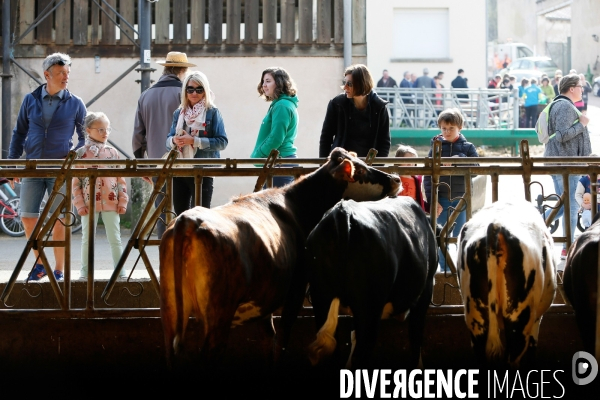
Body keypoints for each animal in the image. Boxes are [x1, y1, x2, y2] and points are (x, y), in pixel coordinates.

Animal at [161, 148, 398, 368]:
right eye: (361, 171)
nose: (396, 179)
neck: (298, 205)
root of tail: (187, 220)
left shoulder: (266, 297)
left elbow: (269, 338)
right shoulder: (296, 289)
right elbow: (283, 337)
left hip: (171, 312)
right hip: (219, 316)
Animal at [308, 197, 434, 368]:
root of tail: (342, 211)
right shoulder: (426, 290)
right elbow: (416, 335)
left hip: (321, 298)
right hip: (370, 306)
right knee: (363, 352)